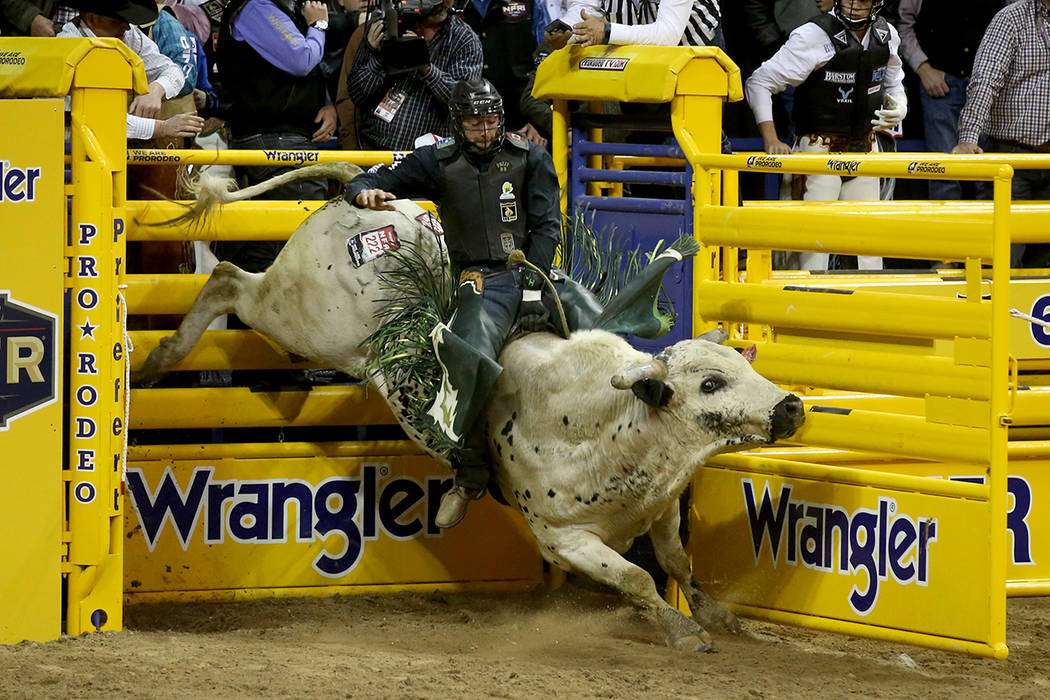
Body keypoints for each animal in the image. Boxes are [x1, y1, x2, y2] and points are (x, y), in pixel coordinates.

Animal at [133, 174, 802, 650]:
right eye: (712, 383)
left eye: (740, 363)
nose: (791, 406)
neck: (606, 425)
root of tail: (374, 194)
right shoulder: (562, 540)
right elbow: (637, 577)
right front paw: (684, 632)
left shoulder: (660, 506)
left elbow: (676, 562)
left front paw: (717, 615)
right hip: (303, 318)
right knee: (226, 275)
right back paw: (156, 359)